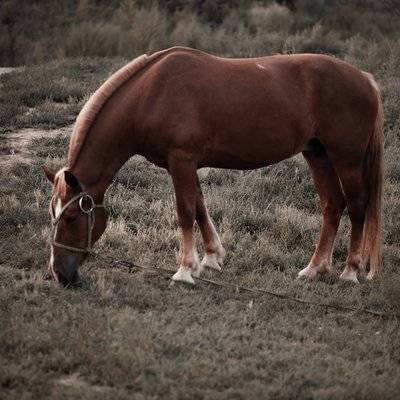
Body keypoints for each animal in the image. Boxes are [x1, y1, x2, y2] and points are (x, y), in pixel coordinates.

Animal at [42, 47, 382, 286]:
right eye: (53, 216)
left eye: (71, 218)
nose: (59, 274)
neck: (151, 94)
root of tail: (365, 78)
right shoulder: (184, 165)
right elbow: (200, 208)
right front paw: (211, 258)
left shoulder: (181, 161)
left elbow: (185, 211)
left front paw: (183, 271)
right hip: (317, 155)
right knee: (332, 206)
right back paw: (314, 268)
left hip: (346, 159)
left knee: (356, 207)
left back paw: (350, 271)